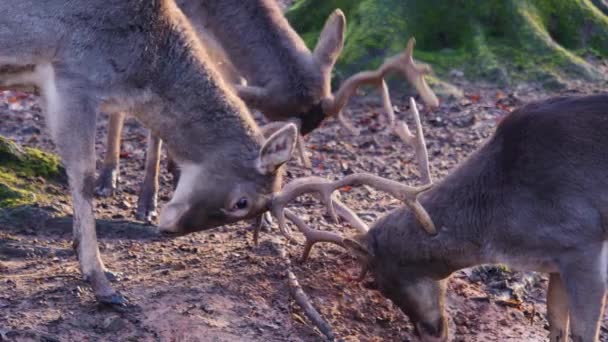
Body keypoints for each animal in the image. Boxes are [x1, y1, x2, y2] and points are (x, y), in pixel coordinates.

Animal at [270, 95, 608, 342]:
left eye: (380, 283)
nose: (429, 334)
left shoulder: (583, 244)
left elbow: (583, 334)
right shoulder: (557, 261)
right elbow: (556, 327)